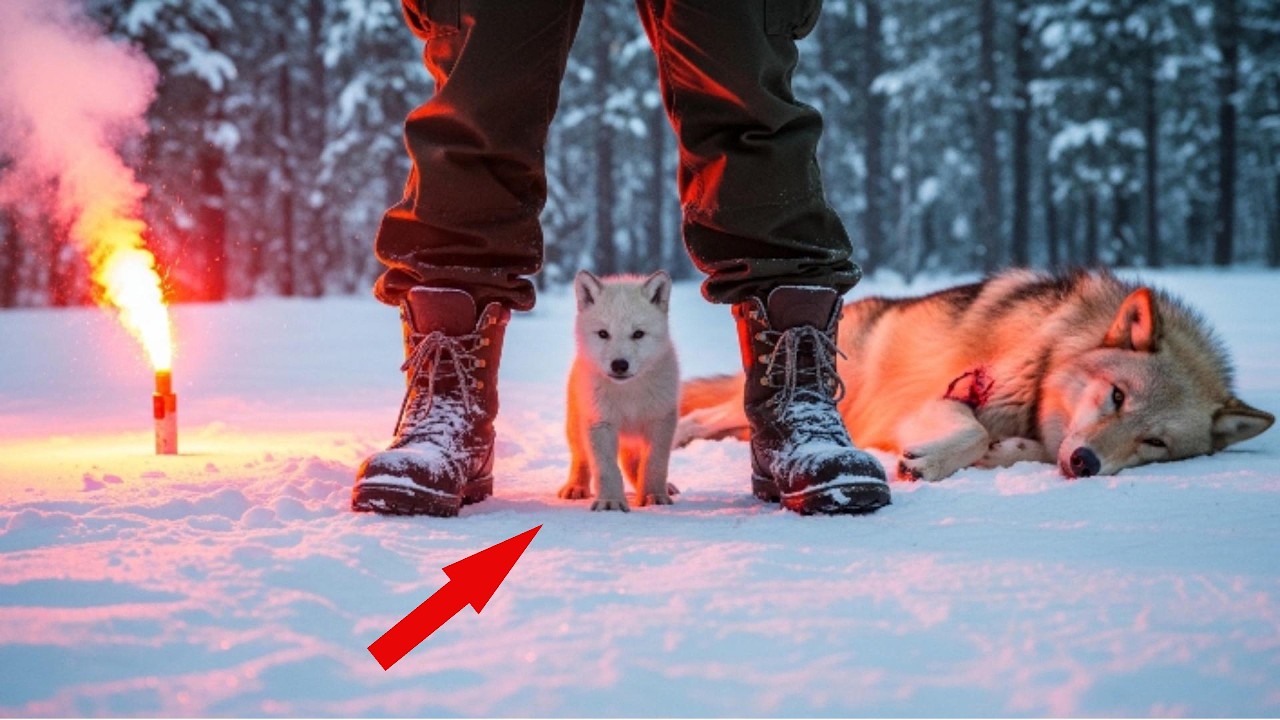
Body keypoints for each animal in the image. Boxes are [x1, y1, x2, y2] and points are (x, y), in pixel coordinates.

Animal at [561, 270, 680, 511]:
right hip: (577, 427)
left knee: (634, 465)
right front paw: (610, 502)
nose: (619, 365)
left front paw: (654, 496)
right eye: (603, 333)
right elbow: (606, 469)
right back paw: (576, 487)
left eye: (638, 334)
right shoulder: (601, 422)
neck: (628, 395)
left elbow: (654, 464)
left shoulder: (661, 421)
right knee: (581, 458)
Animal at [676, 269, 1274, 482]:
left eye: (1155, 443)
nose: (1086, 463)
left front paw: (1004, 453)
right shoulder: (951, 395)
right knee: (705, 416)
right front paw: (929, 462)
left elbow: (1011, 446)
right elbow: (974, 430)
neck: (1054, 350)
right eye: (1118, 396)